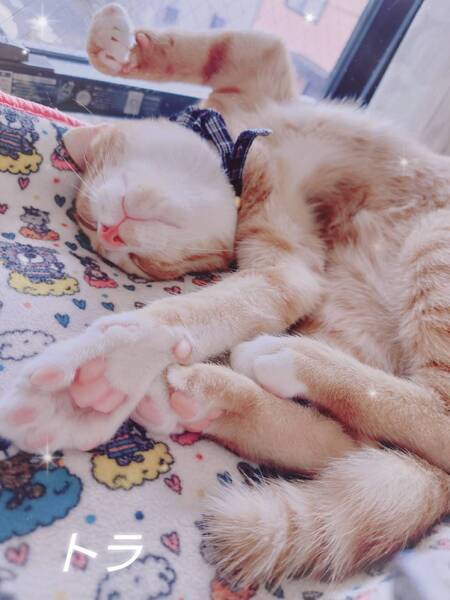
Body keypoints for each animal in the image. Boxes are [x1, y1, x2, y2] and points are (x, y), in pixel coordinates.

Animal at [1, 2, 449, 587]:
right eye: (127, 258)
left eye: (100, 210)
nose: (113, 235)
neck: (241, 147)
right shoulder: (287, 265)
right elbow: (202, 310)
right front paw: (103, 376)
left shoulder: (260, 70)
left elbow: (220, 46)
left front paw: (116, 45)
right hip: (353, 313)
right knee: (358, 440)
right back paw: (209, 396)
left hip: (433, 241)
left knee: (431, 411)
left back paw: (271, 366)